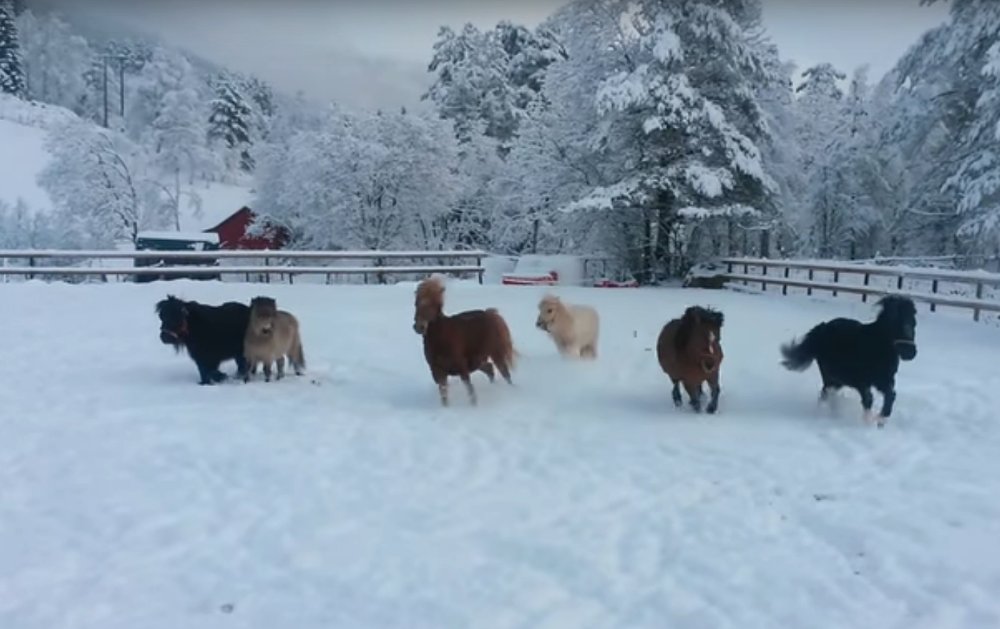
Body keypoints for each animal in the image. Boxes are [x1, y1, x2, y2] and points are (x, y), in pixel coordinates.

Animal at [410, 276, 516, 408]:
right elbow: (444, 394)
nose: (419, 327)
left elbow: (470, 390)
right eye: (416, 304)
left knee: (504, 372)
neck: (441, 339)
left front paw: (474, 406)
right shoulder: (437, 371)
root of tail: (490, 314)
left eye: (434, 305)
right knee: (490, 369)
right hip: (478, 360)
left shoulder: (461, 367)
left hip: (495, 353)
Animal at [776, 296, 916, 426]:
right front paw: (867, 422)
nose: (911, 353)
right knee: (826, 394)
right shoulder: (861, 381)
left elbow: (890, 396)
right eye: (896, 322)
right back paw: (825, 415)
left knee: (826, 394)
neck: (874, 346)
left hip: (838, 381)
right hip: (831, 377)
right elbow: (868, 399)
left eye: (914, 323)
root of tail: (822, 327)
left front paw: (881, 420)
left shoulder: (884, 380)